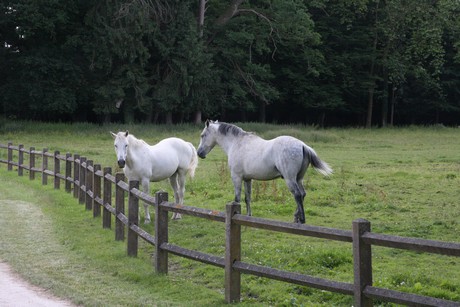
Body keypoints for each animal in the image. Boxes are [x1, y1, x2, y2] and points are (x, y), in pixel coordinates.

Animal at [196, 121, 332, 225]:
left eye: (203, 135)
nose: (199, 153)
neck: (236, 143)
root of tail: (302, 145)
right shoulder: (247, 179)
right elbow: (247, 198)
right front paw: (248, 216)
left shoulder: (236, 177)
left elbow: (237, 198)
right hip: (298, 179)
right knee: (303, 194)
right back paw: (296, 217)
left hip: (290, 179)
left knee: (298, 195)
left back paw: (301, 220)